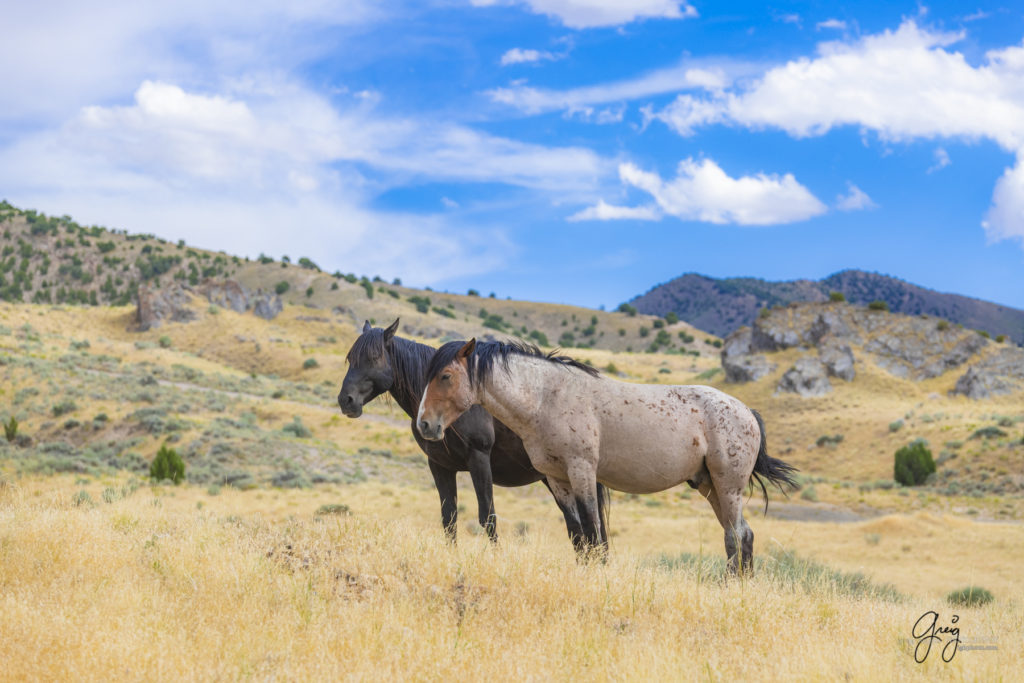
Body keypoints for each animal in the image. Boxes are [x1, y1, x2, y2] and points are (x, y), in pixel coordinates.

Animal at [335, 321, 606, 557]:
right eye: (350, 358)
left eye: (373, 357)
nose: (346, 401)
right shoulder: (440, 466)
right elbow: (449, 517)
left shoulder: (479, 459)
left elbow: (487, 516)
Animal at [417, 339, 798, 573]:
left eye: (446, 376)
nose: (425, 425)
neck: (547, 398)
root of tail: (747, 411)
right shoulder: (557, 479)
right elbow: (577, 533)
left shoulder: (583, 471)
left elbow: (594, 530)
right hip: (710, 487)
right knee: (741, 534)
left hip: (728, 486)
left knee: (736, 536)